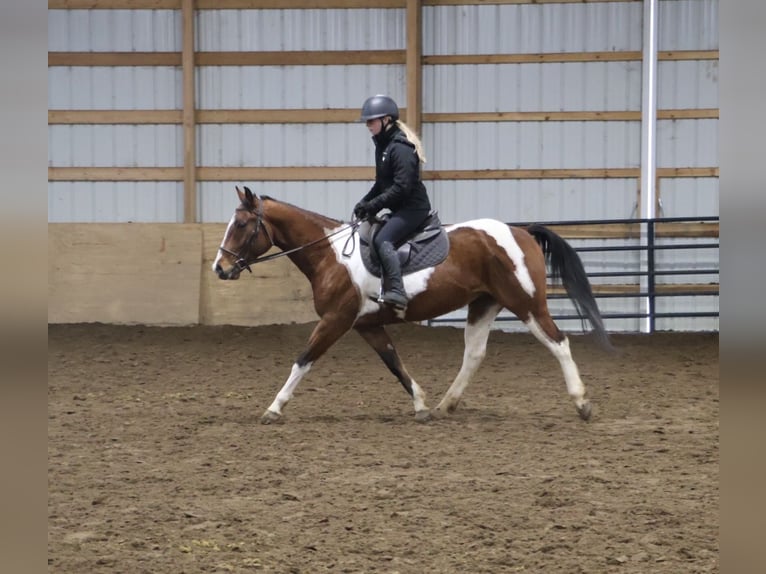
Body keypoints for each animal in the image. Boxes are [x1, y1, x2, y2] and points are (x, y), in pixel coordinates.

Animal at [213, 186, 612, 425]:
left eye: (242, 224)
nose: (220, 268)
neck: (331, 255)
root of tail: (521, 232)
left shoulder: (336, 319)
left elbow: (303, 359)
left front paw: (274, 408)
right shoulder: (366, 325)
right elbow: (394, 363)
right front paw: (420, 405)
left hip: (526, 304)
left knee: (558, 343)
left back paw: (581, 403)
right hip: (484, 305)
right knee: (474, 354)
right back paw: (446, 405)